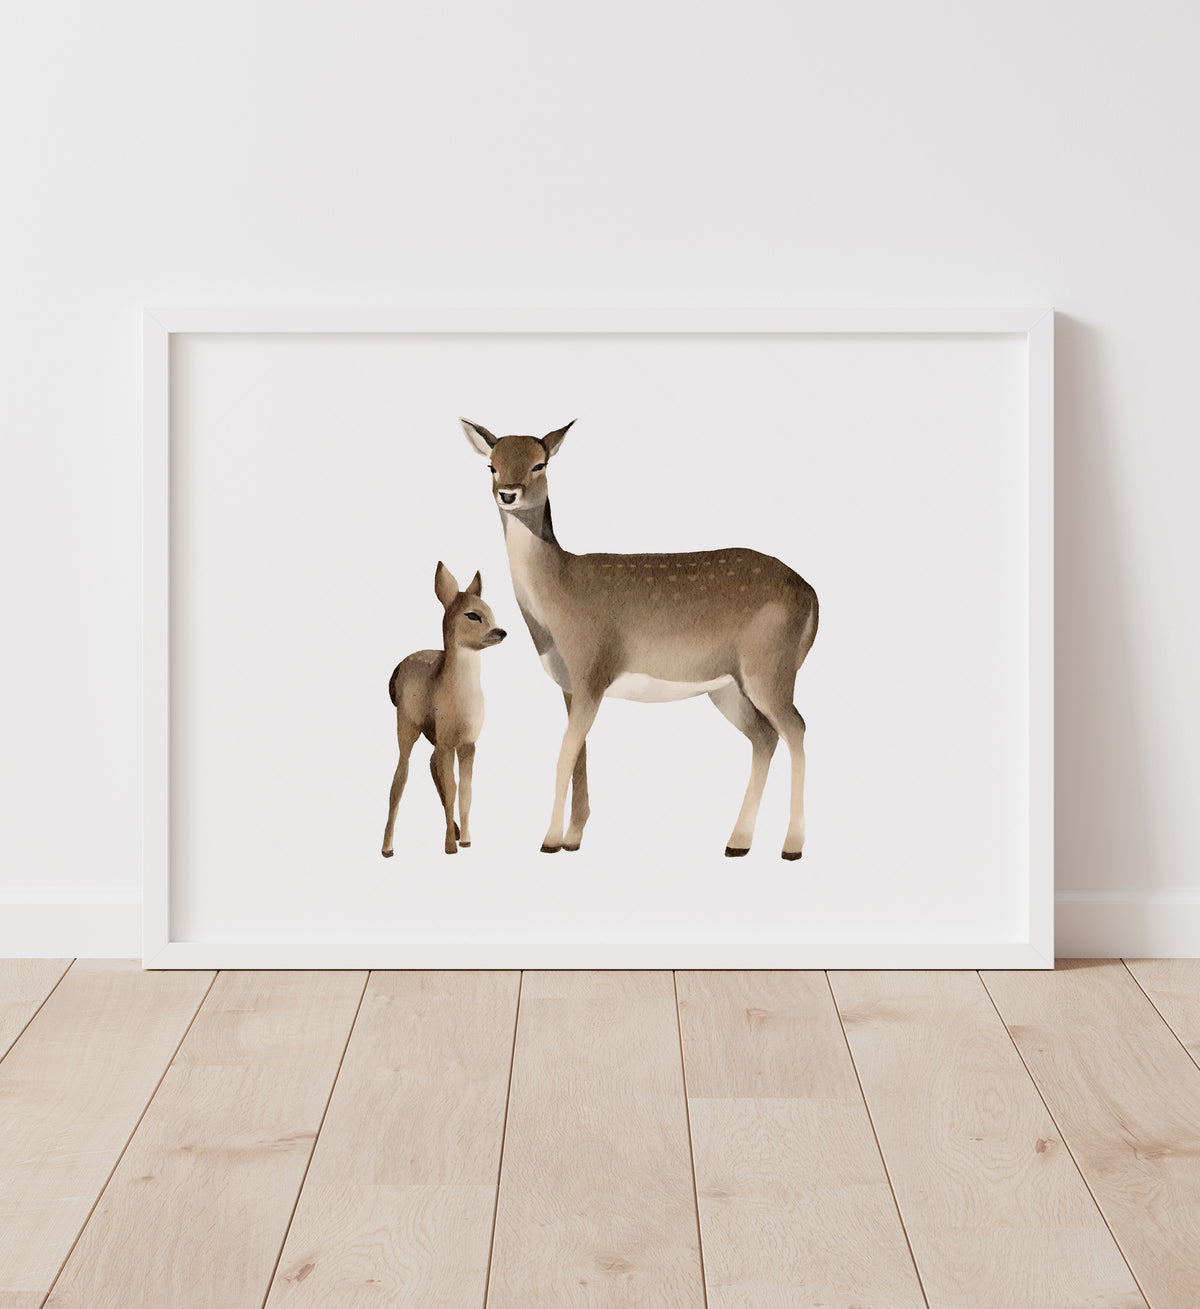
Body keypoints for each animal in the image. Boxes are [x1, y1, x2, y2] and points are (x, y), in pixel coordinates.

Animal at [381, 562, 506, 858]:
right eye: (472, 615)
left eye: (491, 611)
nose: (501, 632)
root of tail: (397, 670)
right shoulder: (448, 741)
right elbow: (452, 788)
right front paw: (450, 847)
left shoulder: (468, 743)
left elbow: (465, 791)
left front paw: (466, 840)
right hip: (407, 724)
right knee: (400, 777)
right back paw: (387, 847)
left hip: (433, 737)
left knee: (430, 765)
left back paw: (456, 831)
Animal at [459, 418, 819, 860]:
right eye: (491, 465)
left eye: (540, 464)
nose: (508, 493)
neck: (557, 599)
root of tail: (813, 595)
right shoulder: (571, 685)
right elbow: (579, 757)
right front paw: (572, 838)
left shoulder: (592, 668)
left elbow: (563, 756)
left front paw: (549, 840)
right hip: (729, 686)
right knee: (765, 737)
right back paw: (738, 842)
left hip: (770, 668)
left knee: (797, 728)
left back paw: (792, 845)